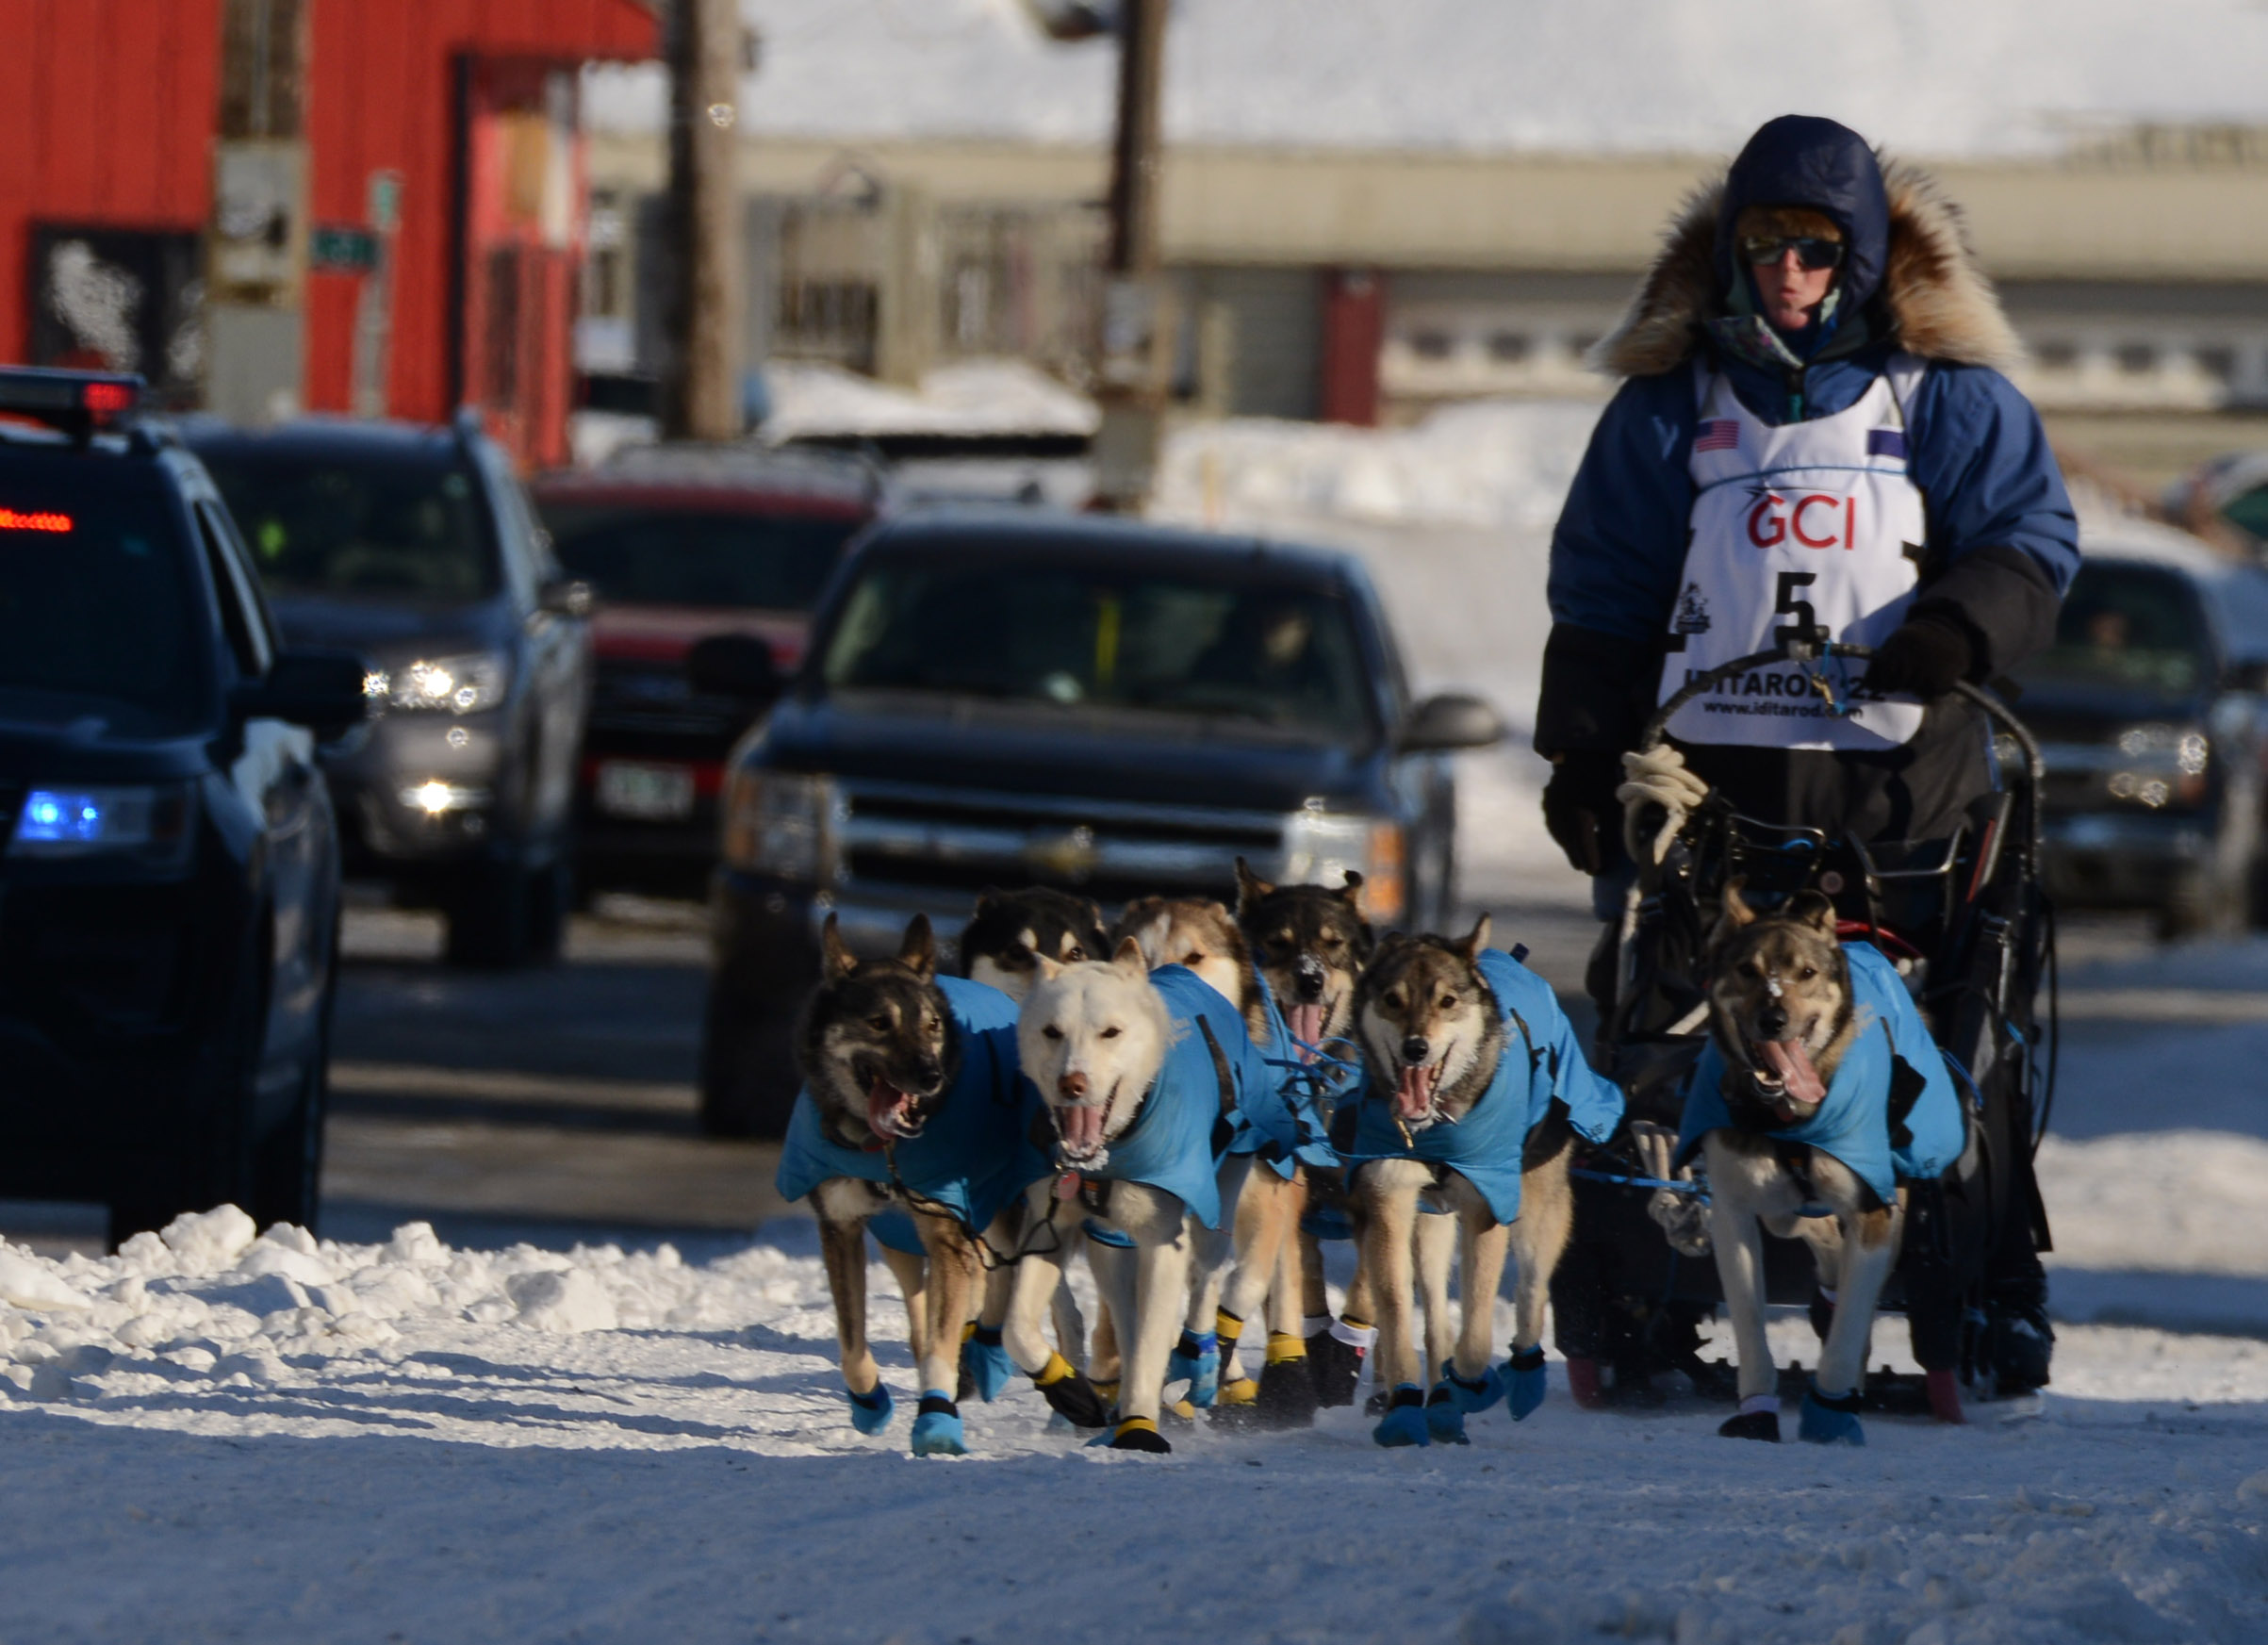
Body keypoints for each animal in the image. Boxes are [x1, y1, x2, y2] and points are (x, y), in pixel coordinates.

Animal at [766, 916, 1038, 1452]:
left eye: (932, 1026)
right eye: (878, 1023)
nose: (930, 1076)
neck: (882, 1148)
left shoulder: (949, 1227)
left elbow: (943, 1338)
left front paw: (936, 1419)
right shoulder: (841, 1228)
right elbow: (852, 1342)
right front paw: (869, 1403)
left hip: (995, 1214)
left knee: (996, 1285)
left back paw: (985, 1358)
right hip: (900, 1240)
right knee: (921, 1308)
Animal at [1342, 916, 1633, 1442]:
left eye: (1446, 1001)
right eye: (1392, 999)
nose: (1416, 1048)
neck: (1436, 1125)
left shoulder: (1486, 1205)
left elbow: (1477, 1326)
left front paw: (1471, 1385)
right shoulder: (1390, 1199)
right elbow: (1396, 1312)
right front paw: (1405, 1407)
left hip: (1539, 1207)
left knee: (1532, 1292)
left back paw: (1518, 1378)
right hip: (1431, 1219)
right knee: (1436, 1318)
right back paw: (1438, 1402)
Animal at [1668, 884, 1968, 1434]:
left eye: (1806, 972)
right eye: (1747, 969)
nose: (1773, 1018)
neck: (1787, 1118)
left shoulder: (1874, 1212)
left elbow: (1851, 1323)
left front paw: (1830, 1408)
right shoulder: (1732, 1211)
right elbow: (1749, 1322)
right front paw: (1757, 1413)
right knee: (1803, 1227)